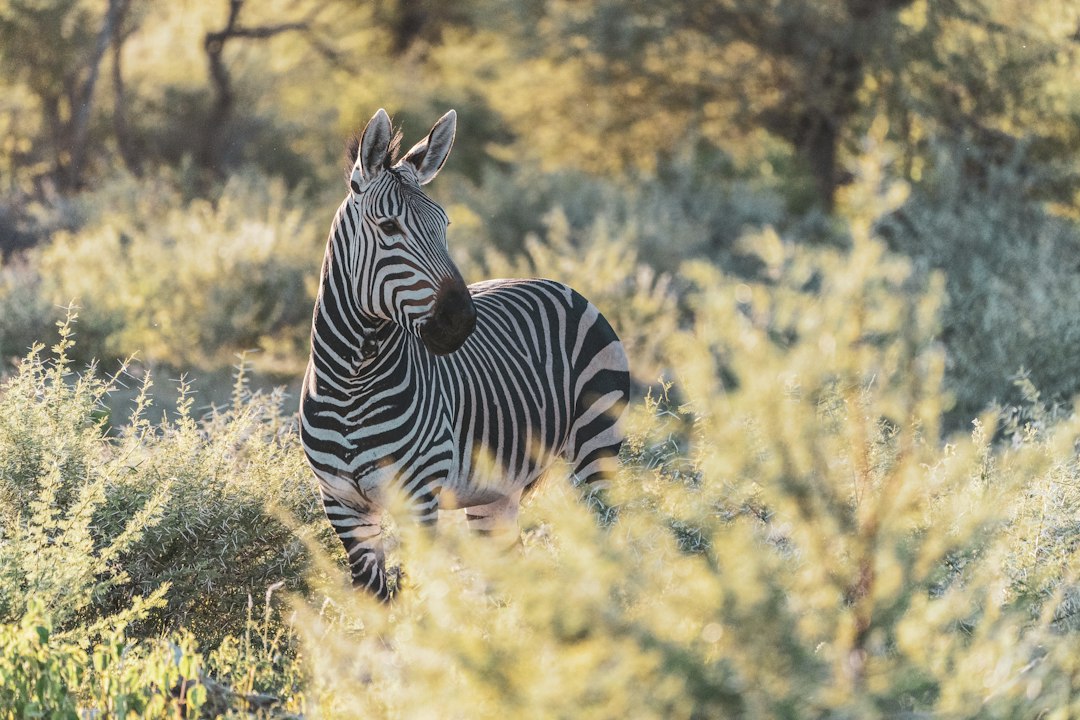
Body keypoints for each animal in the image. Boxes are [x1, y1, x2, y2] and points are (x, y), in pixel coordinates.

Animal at [299, 108, 630, 601]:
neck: (350, 382)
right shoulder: (342, 504)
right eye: (389, 227)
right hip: (496, 494)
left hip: (597, 448)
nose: (460, 319)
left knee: (605, 545)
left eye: (445, 226)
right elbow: (375, 603)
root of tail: (559, 283)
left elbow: (423, 598)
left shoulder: (419, 496)